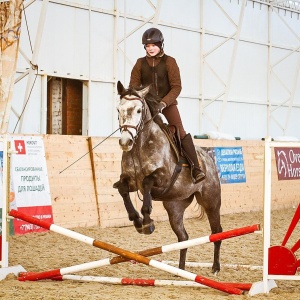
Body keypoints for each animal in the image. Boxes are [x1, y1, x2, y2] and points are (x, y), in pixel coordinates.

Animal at [113, 81, 221, 274]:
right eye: (119, 109)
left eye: (139, 110)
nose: (125, 142)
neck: (140, 146)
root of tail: (209, 160)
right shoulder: (131, 182)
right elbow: (123, 189)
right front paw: (137, 220)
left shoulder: (161, 179)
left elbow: (147, 182)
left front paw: (147, 222)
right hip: (174, 207)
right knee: (183, 237)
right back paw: (181, 269)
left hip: (211, 202)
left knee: (217, 232)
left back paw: (215, 267)